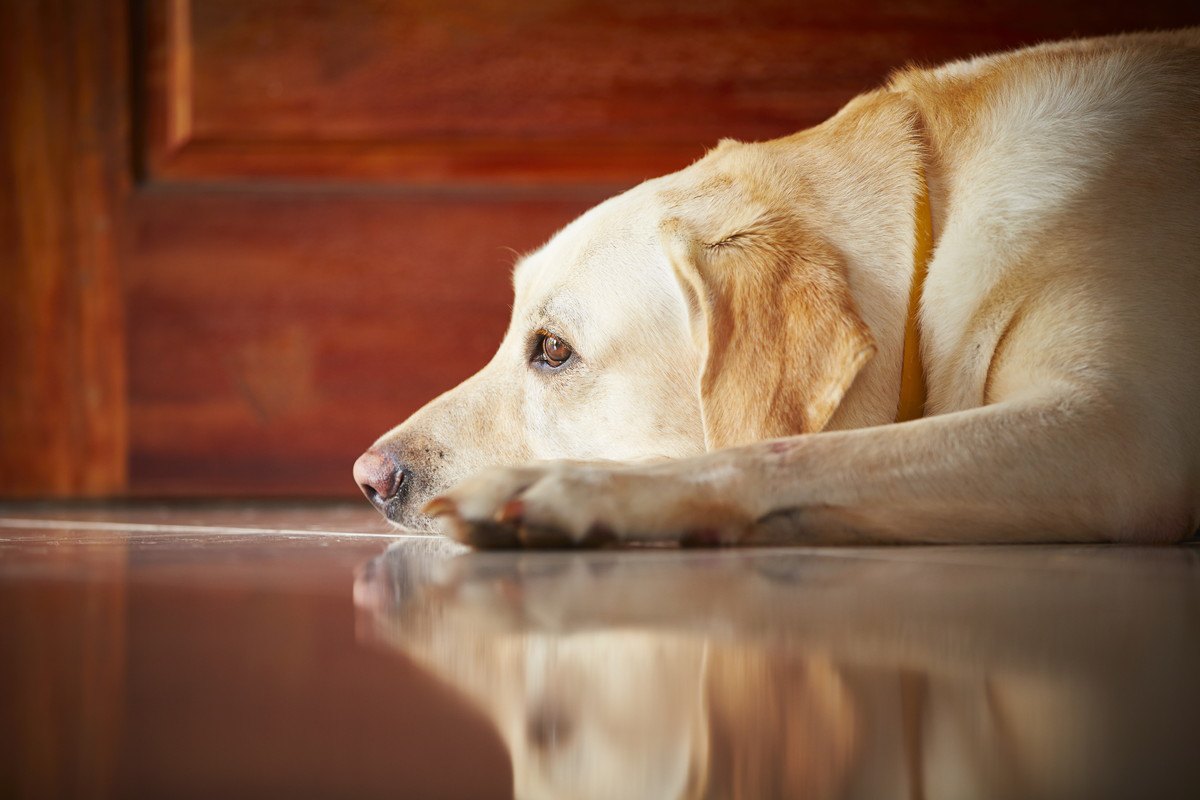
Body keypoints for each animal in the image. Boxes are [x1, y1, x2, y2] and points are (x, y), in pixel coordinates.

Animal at [355, 29, 1200, 544]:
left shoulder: (1112, 433)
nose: (369, 478)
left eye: (554, 351)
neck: (936, 200)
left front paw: (576, 491)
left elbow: (793, 452)